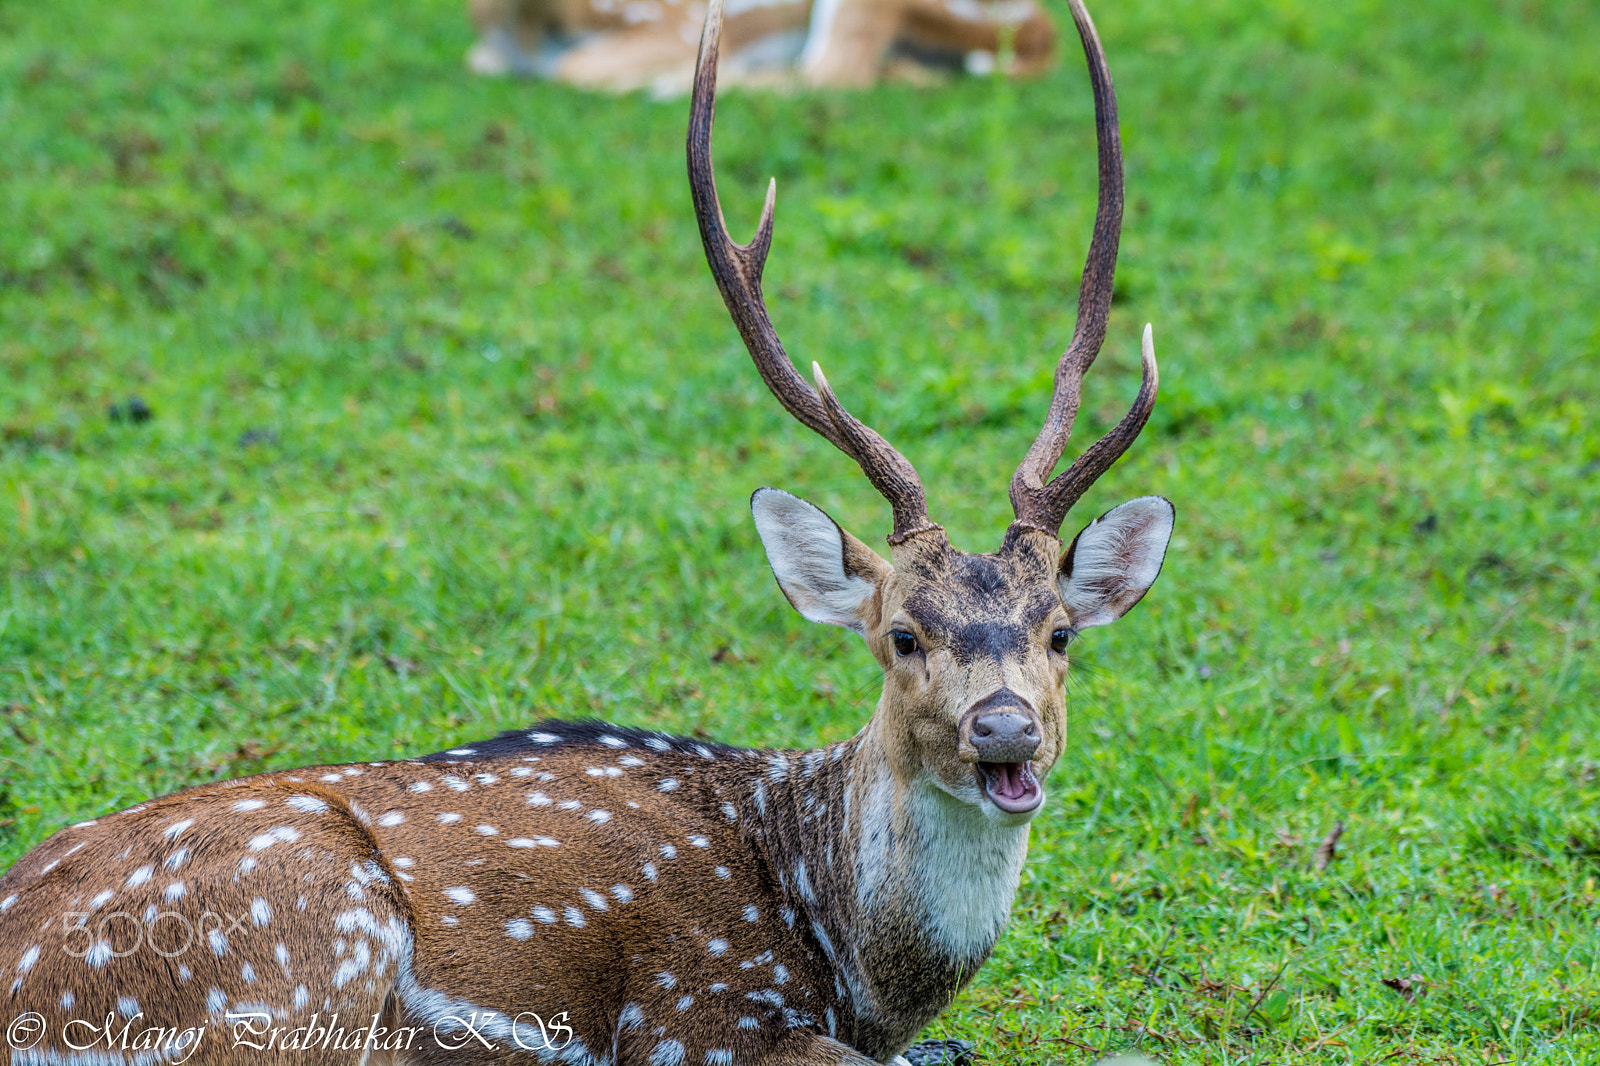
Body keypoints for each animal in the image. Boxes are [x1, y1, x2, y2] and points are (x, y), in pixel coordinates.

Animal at [0, 0, 1170, 1062]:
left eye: (1060, 631)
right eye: (902, 635)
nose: (1005, 727)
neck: (850, 960)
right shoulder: (697, 1011)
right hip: (295, 951)